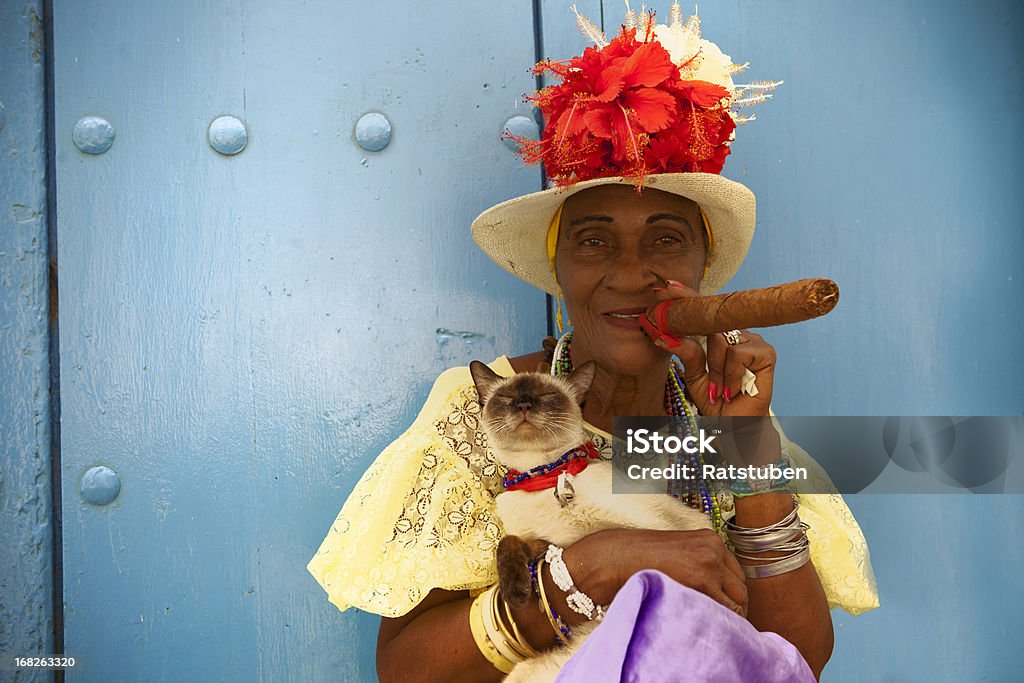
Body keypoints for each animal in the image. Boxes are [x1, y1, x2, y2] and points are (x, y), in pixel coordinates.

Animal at [471, 360, 712, 679]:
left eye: (547, 394)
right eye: (507, 397)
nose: (523, 405)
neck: (545, 478)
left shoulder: (660, 529)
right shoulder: (546, 542)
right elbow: (510, 543)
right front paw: (517, 594)